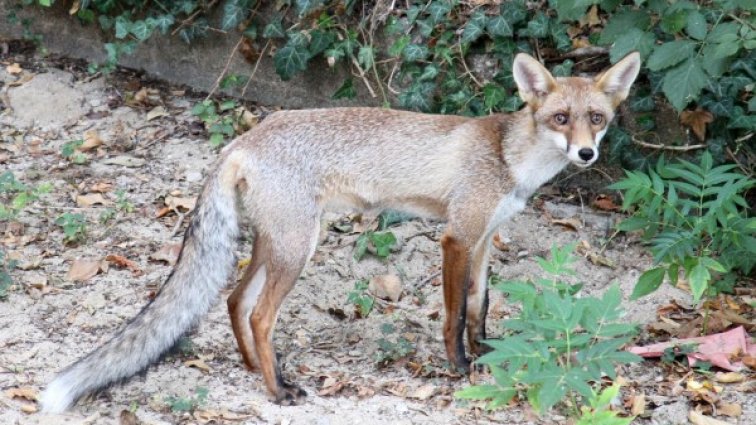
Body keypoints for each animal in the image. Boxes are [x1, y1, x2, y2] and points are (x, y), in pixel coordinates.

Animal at [41, 51, 640, 410]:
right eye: (561, 119)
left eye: (597, 119)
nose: (586, 155)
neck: (509, 160)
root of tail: (244, 138)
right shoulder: (457, 237)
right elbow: (451, 317)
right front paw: (459, 368)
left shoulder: (486, 240)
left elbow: (478, 307)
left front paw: (490, 355)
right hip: (297, 248)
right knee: (258, 314)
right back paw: (277, 390)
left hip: (275, 244)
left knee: (234, 300)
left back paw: (254, 368)